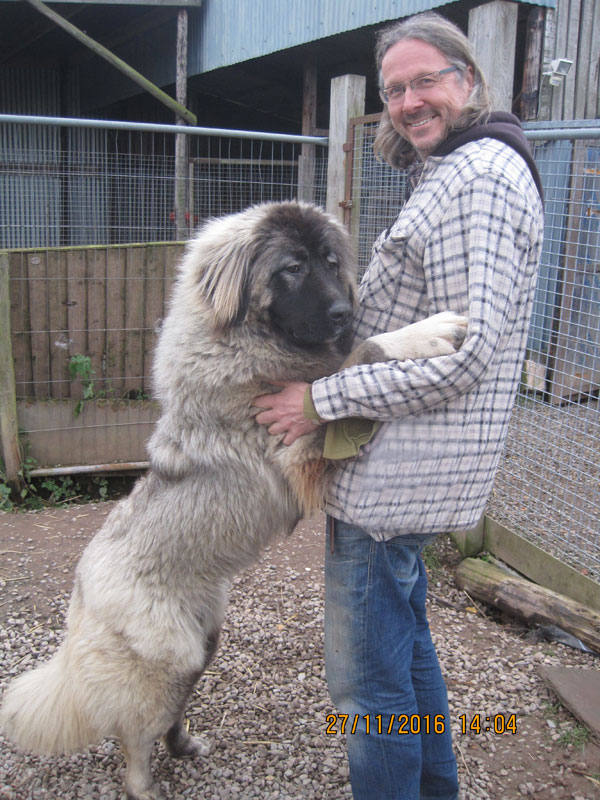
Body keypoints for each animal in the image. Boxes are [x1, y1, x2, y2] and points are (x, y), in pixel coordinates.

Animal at [0, 198, 466, 792]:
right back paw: (145, 786)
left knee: (167, 717)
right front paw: (427, 331)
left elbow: (349, 360)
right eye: (291, 268)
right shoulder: (300, 443)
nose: (344, 310)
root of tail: (80, 595)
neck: (240, 343)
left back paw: (184, 746)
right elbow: (363, 353)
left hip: (204, 643)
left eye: (329, 262)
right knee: (133, 738)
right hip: (165, 665)